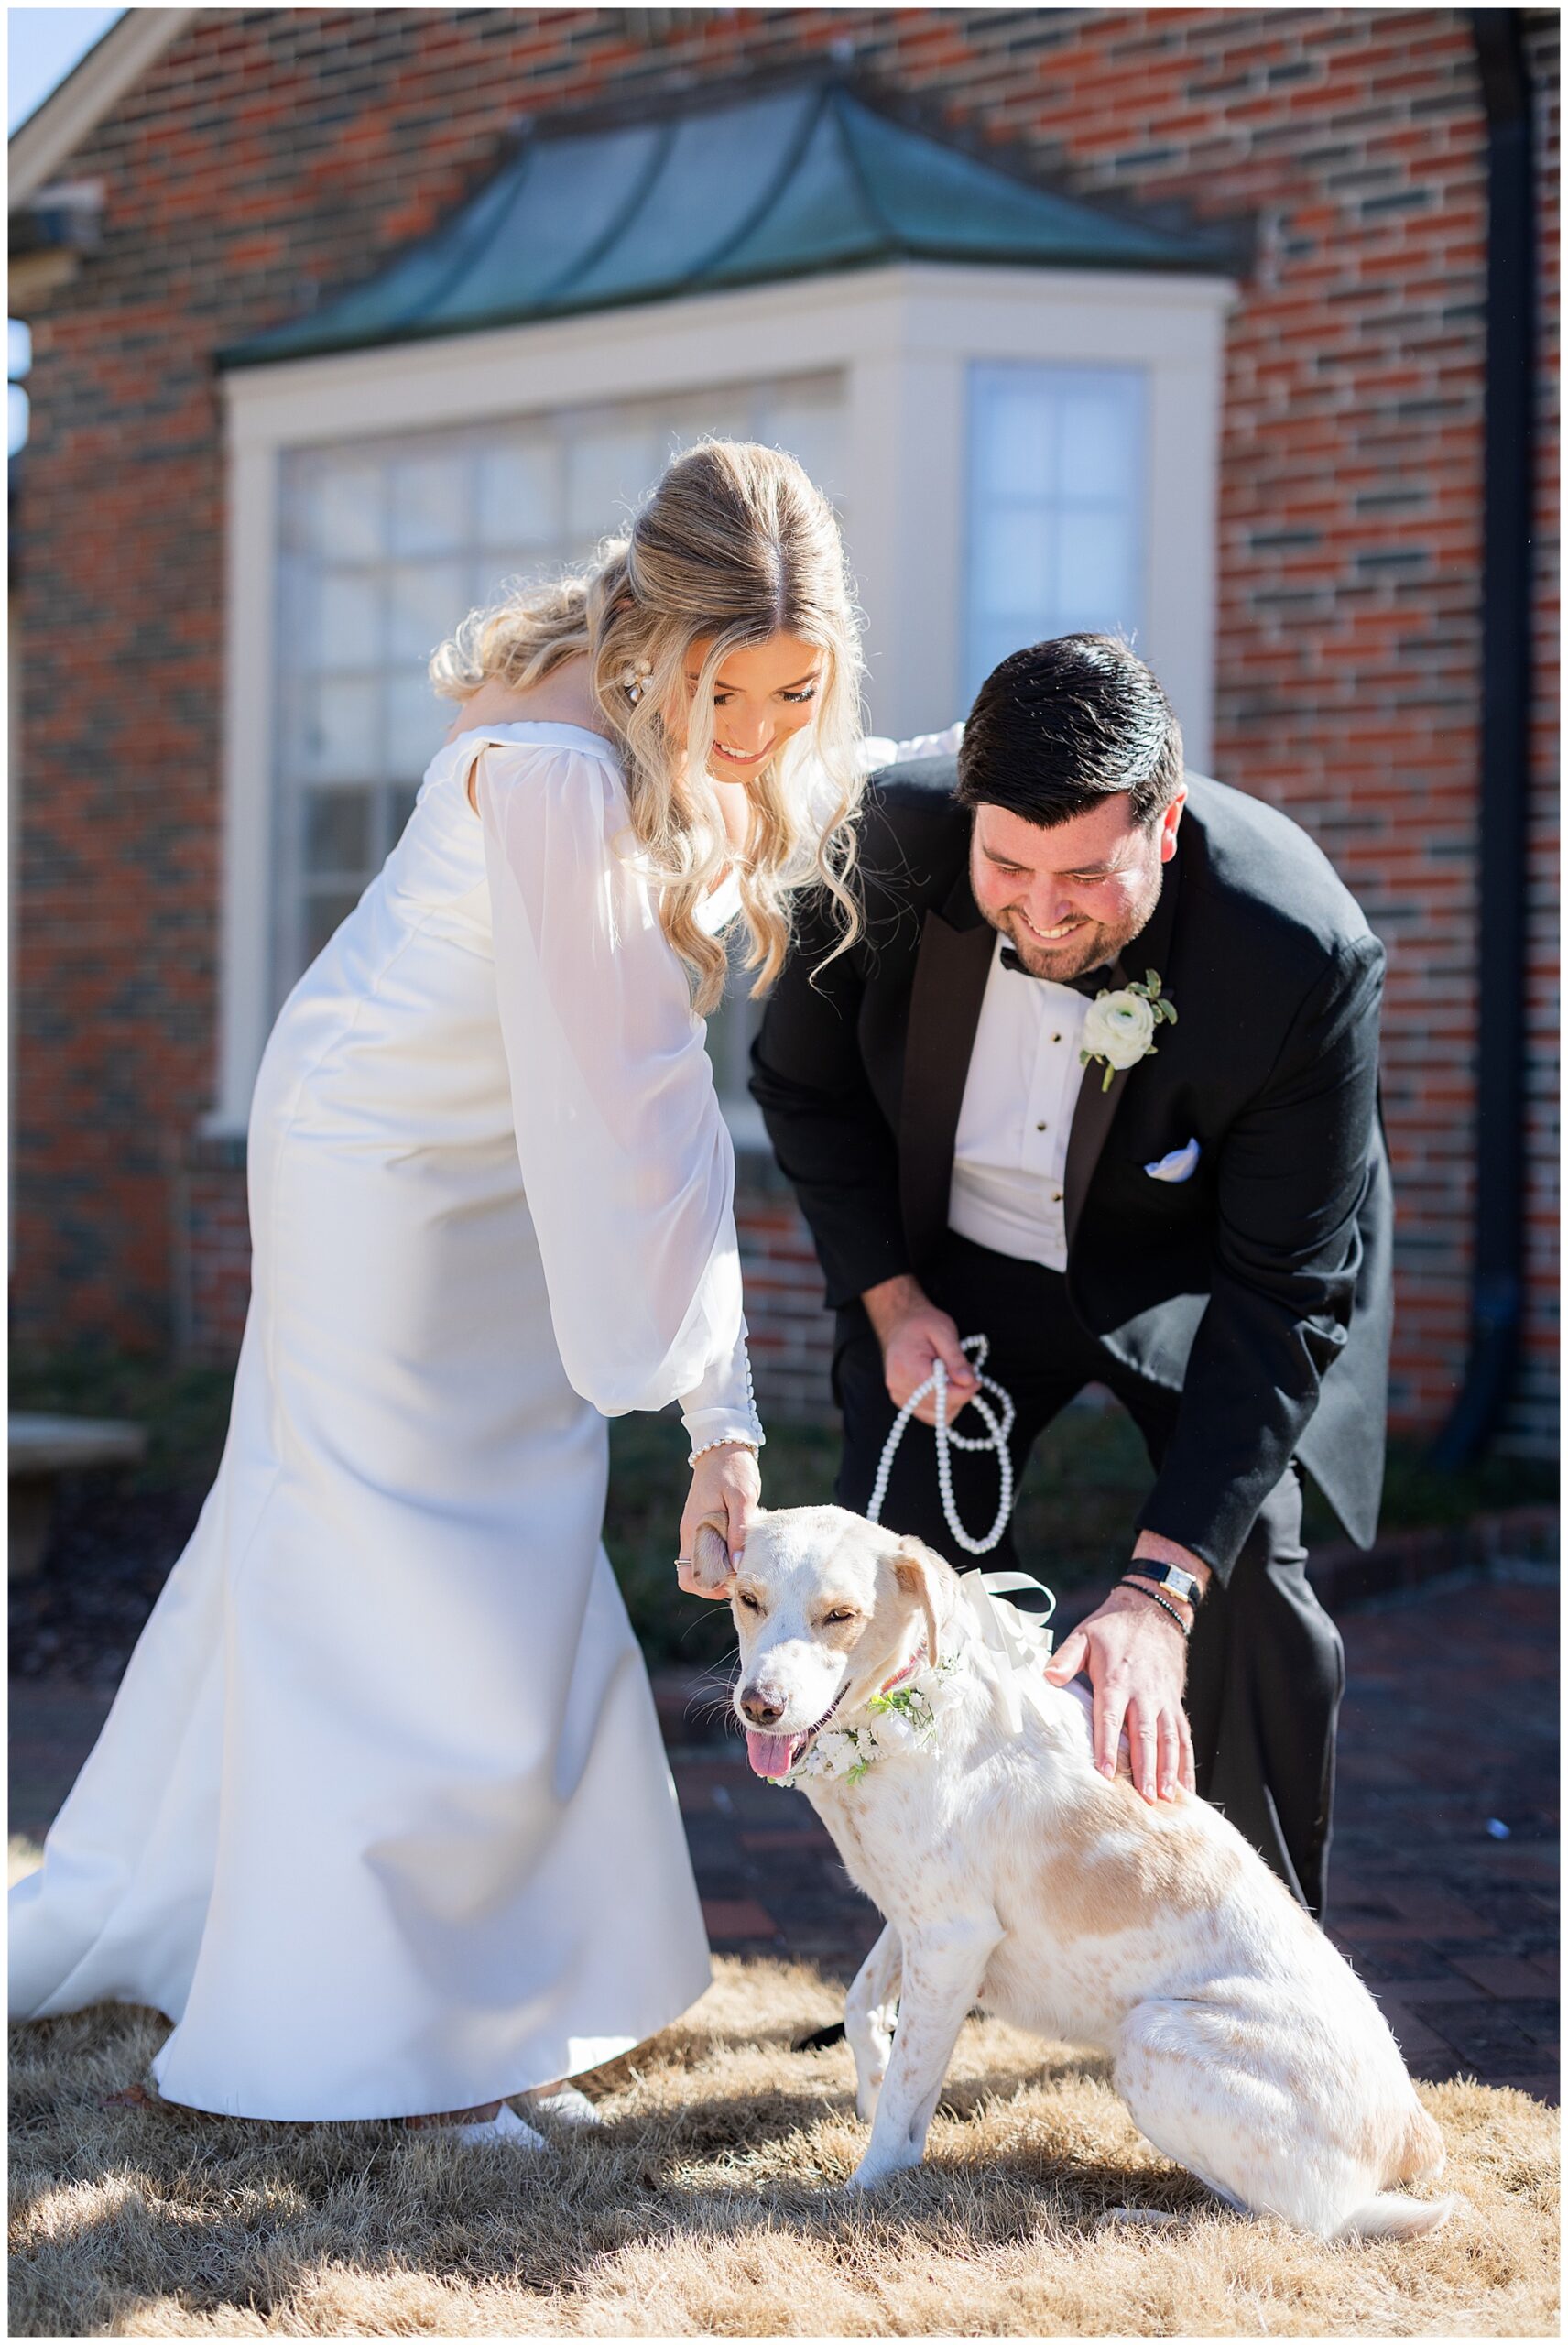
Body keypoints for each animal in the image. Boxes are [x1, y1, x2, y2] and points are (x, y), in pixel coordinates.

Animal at [689, 1491, 1453, 2241]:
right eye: (748, 1599)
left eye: (840, 1616)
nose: (759, 1707)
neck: (899, 1715)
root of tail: (1416, 2135)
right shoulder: (927, 1923)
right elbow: (860, 2004)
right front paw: (869, 2082)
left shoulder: (950, 1939)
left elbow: (908, 2101)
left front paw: (864, 2188)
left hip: (1151, 2039)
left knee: (1299, 2223)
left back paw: (1147, 2222)